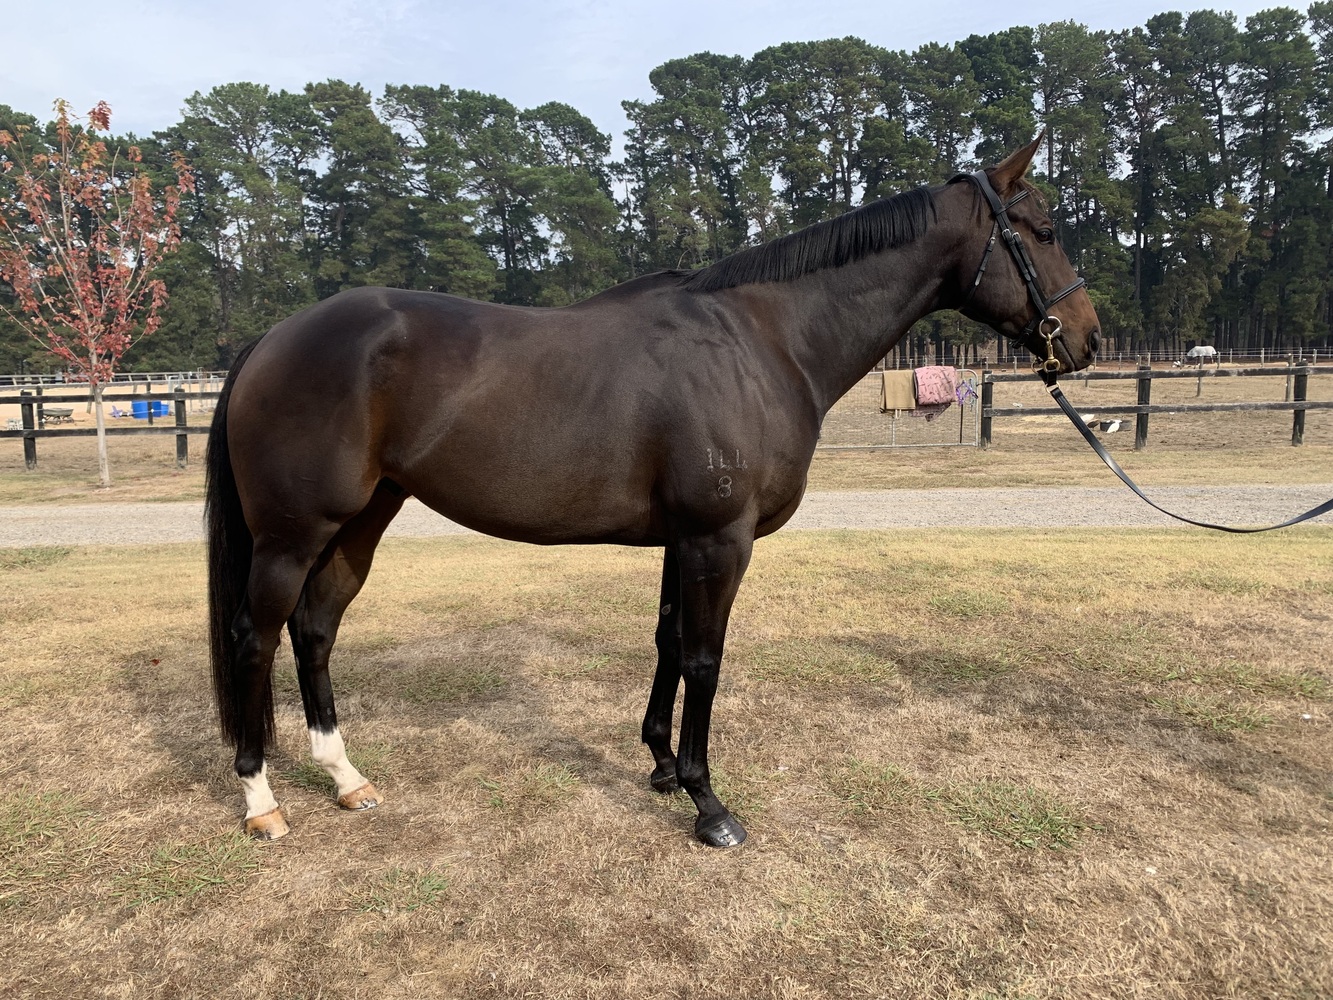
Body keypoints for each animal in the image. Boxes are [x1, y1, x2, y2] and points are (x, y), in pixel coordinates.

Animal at [206, 135, 1100, 846]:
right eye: (1043, 231)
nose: (1085, 340)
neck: (763, 341)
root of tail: (273, 338)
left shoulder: (682, 539)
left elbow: (668, 641)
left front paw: (664, 766)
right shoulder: (717, 538)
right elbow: (704, 658)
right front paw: (709, 804)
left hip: (361, 520)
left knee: (315, 630)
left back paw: (345, 778)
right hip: (292, 534)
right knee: (257, 637)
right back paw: (261, 800)